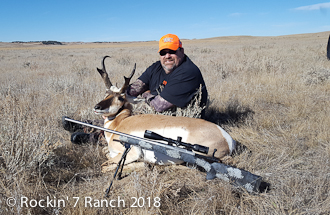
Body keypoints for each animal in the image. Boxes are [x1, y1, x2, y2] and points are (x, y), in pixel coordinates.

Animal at [94, 56, 236, 170]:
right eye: (106, 93)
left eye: (120, 98)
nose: (97, 107)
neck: (120, 123)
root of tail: (227, 139)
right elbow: (105, 151)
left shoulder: (133, 152)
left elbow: (104, 166)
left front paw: (145, 164)